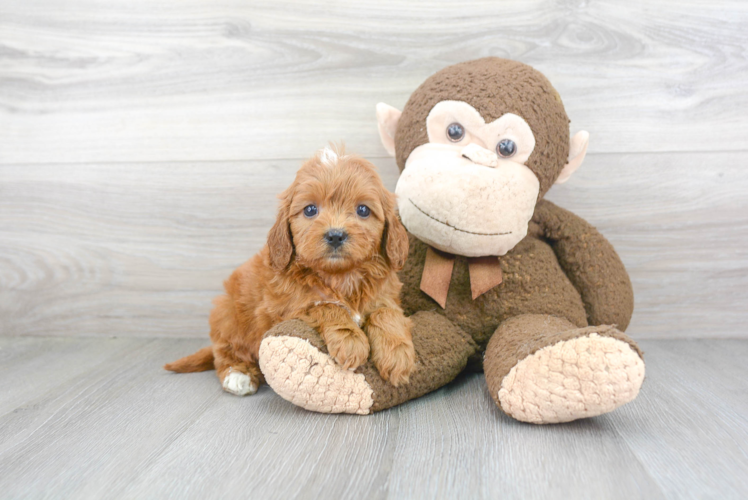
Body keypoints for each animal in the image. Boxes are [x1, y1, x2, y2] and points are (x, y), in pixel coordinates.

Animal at [165, 146, 414, 396]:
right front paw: (350, 339)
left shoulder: (386, 297)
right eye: (310, 210)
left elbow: (386, 313)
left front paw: (397, 353)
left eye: (363, 210)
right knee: (225, 353)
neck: (340, 276)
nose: (335, 235)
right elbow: (325, 306)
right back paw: (237, 376)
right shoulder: (285, 308)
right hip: (228, 316)